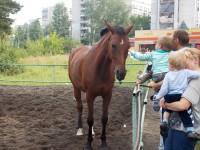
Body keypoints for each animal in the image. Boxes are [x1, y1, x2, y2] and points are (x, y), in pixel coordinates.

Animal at [68, 21, 134, 150]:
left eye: (128, 46)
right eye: (113, 45)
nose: (121, 73)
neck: (100, 69)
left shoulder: (107, 95)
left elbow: (104, 118)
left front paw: (104, 141)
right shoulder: (90, 95)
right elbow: (90, 120)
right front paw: (88, 143)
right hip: (76, 89)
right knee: (80, 107)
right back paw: (79, 129)